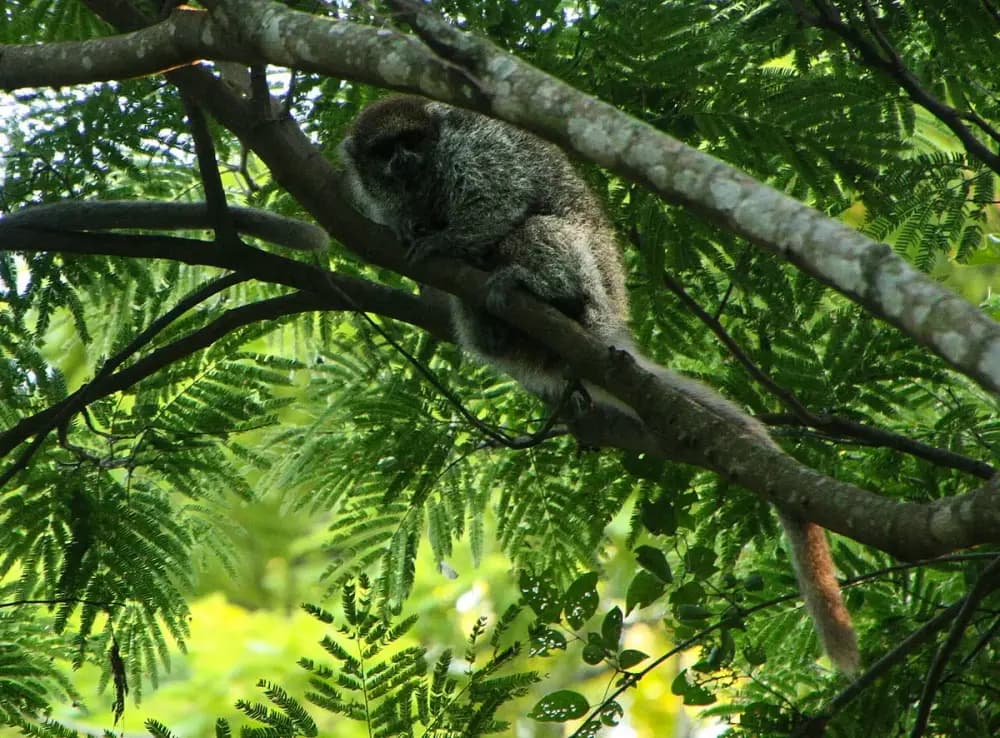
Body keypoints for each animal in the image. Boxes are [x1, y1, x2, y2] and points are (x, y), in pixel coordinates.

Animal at [338, 95, 860, 673]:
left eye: (412, 142)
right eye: (385, 151)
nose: (403, 161)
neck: (426, 179)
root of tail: (608, 325)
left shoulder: (474, 153)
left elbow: (499, 201)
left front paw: (442, 241)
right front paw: (416, 229)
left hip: (589, 281)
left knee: (537, 229)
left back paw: (539, 288)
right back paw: (494, 330)